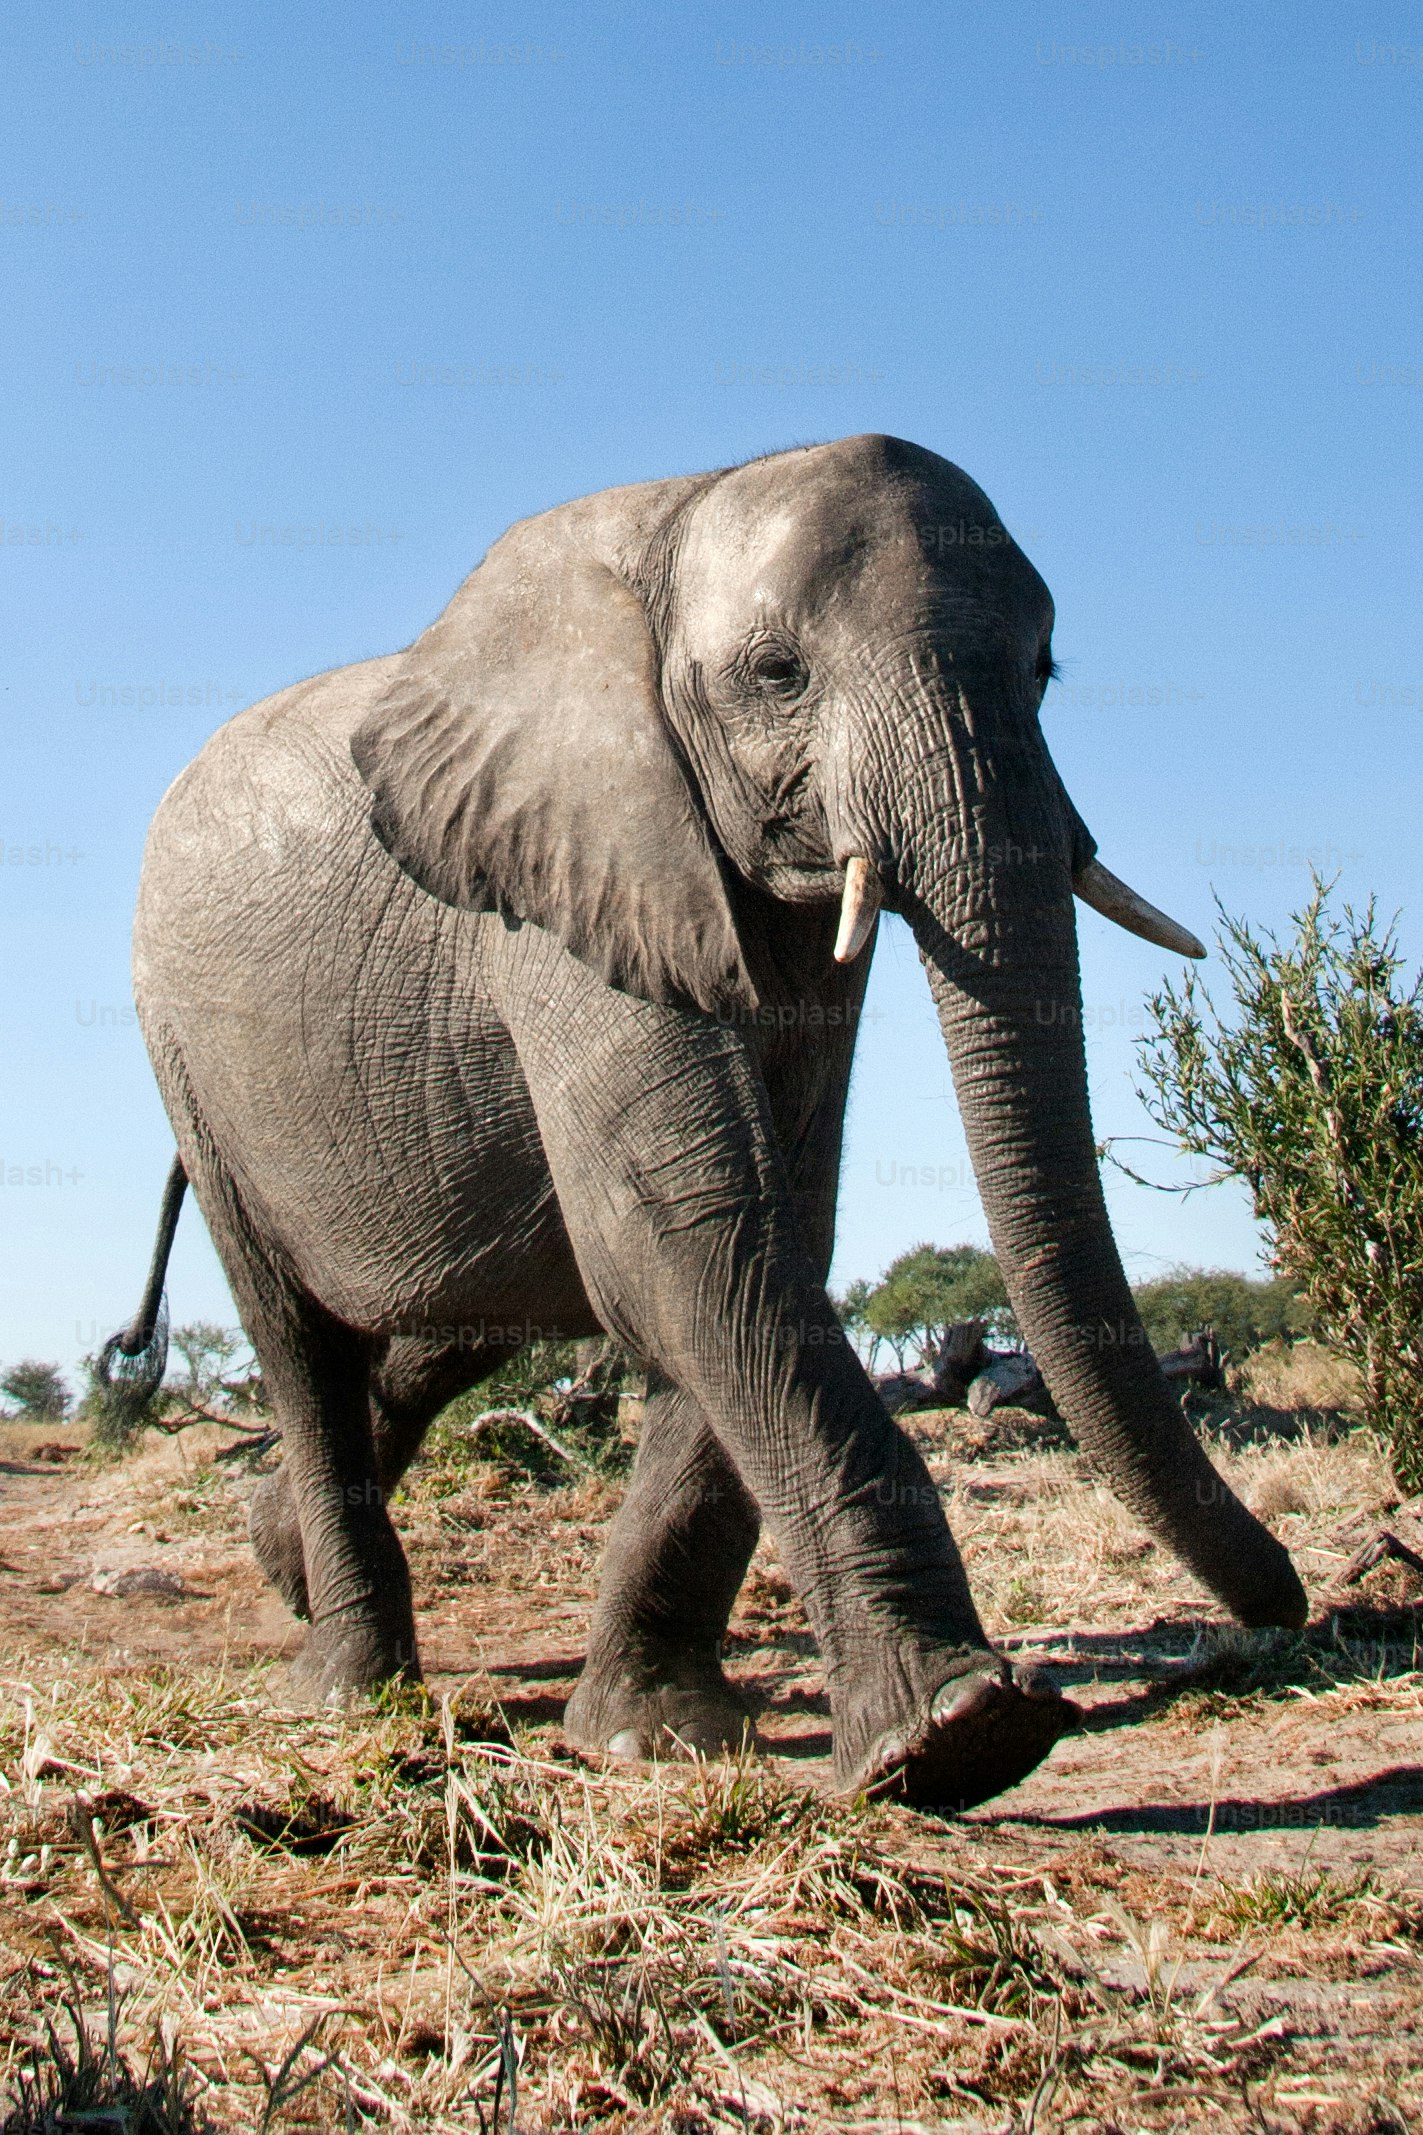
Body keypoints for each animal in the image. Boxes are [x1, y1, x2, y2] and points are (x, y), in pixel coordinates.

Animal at [112, 432, 1307, 1813]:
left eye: (1045, 670)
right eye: (776, 673)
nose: (1281, 1609)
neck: (673, 518)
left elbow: (763, 1232)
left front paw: (656, 1736)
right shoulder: (560, 877)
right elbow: (694, 1234)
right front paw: (959, 1733)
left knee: (472, 1301)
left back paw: (281, 1563)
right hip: (189, 1058)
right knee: (302, 1336)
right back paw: (350, 1686)